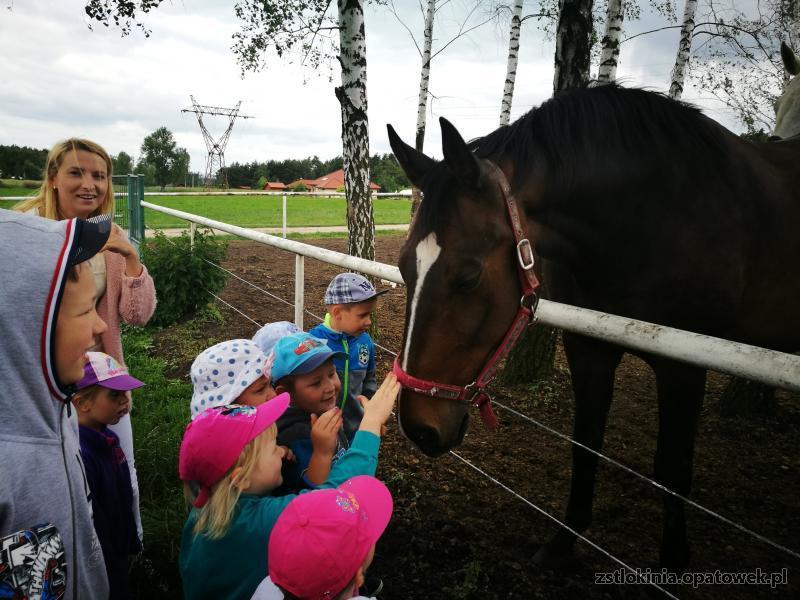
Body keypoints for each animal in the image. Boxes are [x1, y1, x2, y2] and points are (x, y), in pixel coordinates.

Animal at [386, 84, 800, 572]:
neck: (646, 218)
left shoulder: (684, 365)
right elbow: (585, 443)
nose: (418, 428)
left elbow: (674, 468)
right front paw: (563, 540)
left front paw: (673, 560)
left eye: (468, 277)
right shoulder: (589, 348)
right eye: (403, 267)